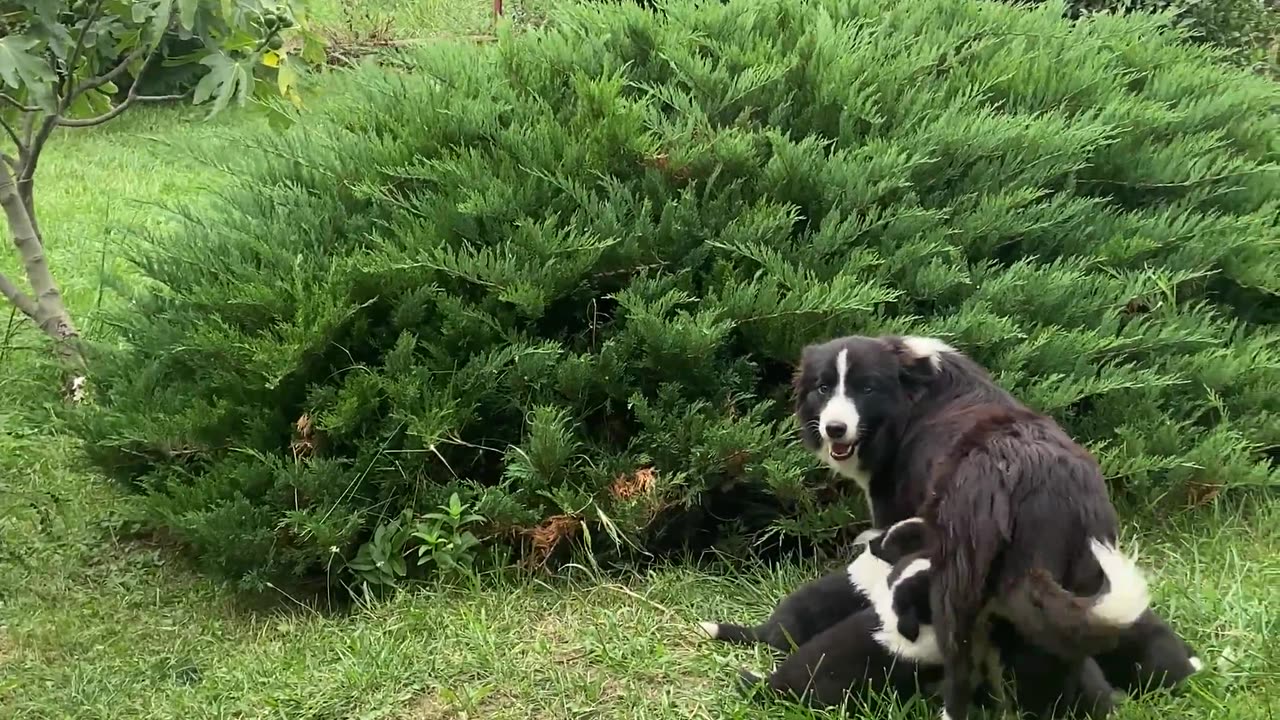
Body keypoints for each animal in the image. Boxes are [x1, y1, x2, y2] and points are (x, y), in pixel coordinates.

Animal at [788, 335, 1152, 717]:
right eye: (823, 388)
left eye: (867, 388)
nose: (834, 429)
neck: (912, 394)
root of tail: (1034, 483)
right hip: (1081, 577)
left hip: (954, 588)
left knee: (959, 668)